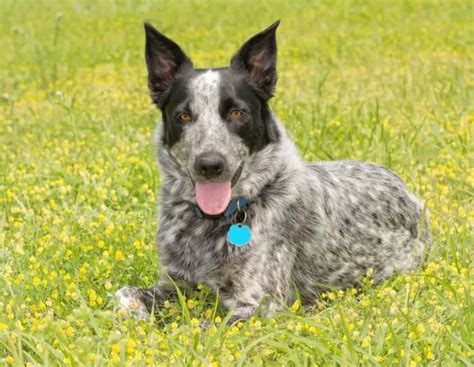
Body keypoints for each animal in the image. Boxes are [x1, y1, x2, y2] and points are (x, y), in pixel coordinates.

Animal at [115, 20, 430, 324]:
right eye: (183, 115)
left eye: (237, 112)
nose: (209, 164)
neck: (216, 220)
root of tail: (405, 188)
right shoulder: (173, 284)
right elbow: (124, 295)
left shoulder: (260, 304)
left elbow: (203, 327)